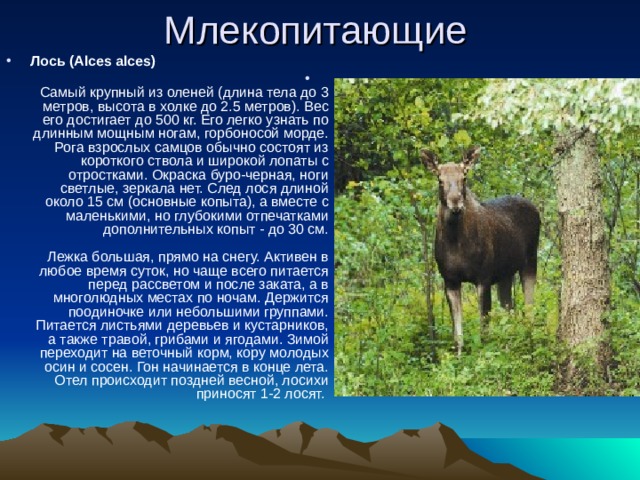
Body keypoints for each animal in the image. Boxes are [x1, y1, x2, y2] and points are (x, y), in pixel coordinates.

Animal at [421, 146, 540, 356]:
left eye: (464, 177)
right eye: (440, 179)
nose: (455, 202)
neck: (456, 243)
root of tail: (535, 209)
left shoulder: (483, 277)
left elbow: (484, 326)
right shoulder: (450, 280)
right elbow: (457, 333)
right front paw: (459, 358)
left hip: (530, 261)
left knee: (528, 306)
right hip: (505, 274)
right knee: (509, 308)